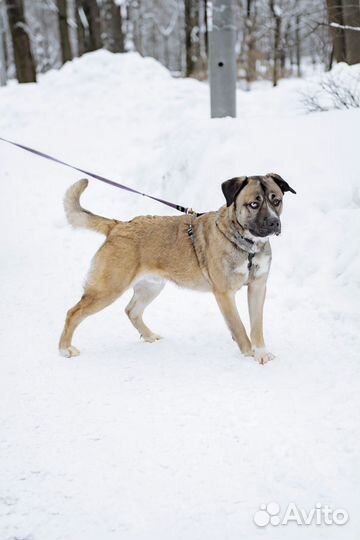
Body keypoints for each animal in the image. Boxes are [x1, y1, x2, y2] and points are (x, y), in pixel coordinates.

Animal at [58, 175, 296, 364]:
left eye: (276, 200)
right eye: (254, 204)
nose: (274, 223)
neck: (247, 246)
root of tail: (118, 225)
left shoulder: (258, 287)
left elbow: (256, 325)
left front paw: (261, 352)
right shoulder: (224, 294)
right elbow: (239, 328)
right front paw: (248, 355)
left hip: (151, 286)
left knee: (132, 311)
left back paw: (149, 336)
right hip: (108, 288)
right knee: (73, 312)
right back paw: (64, 348)